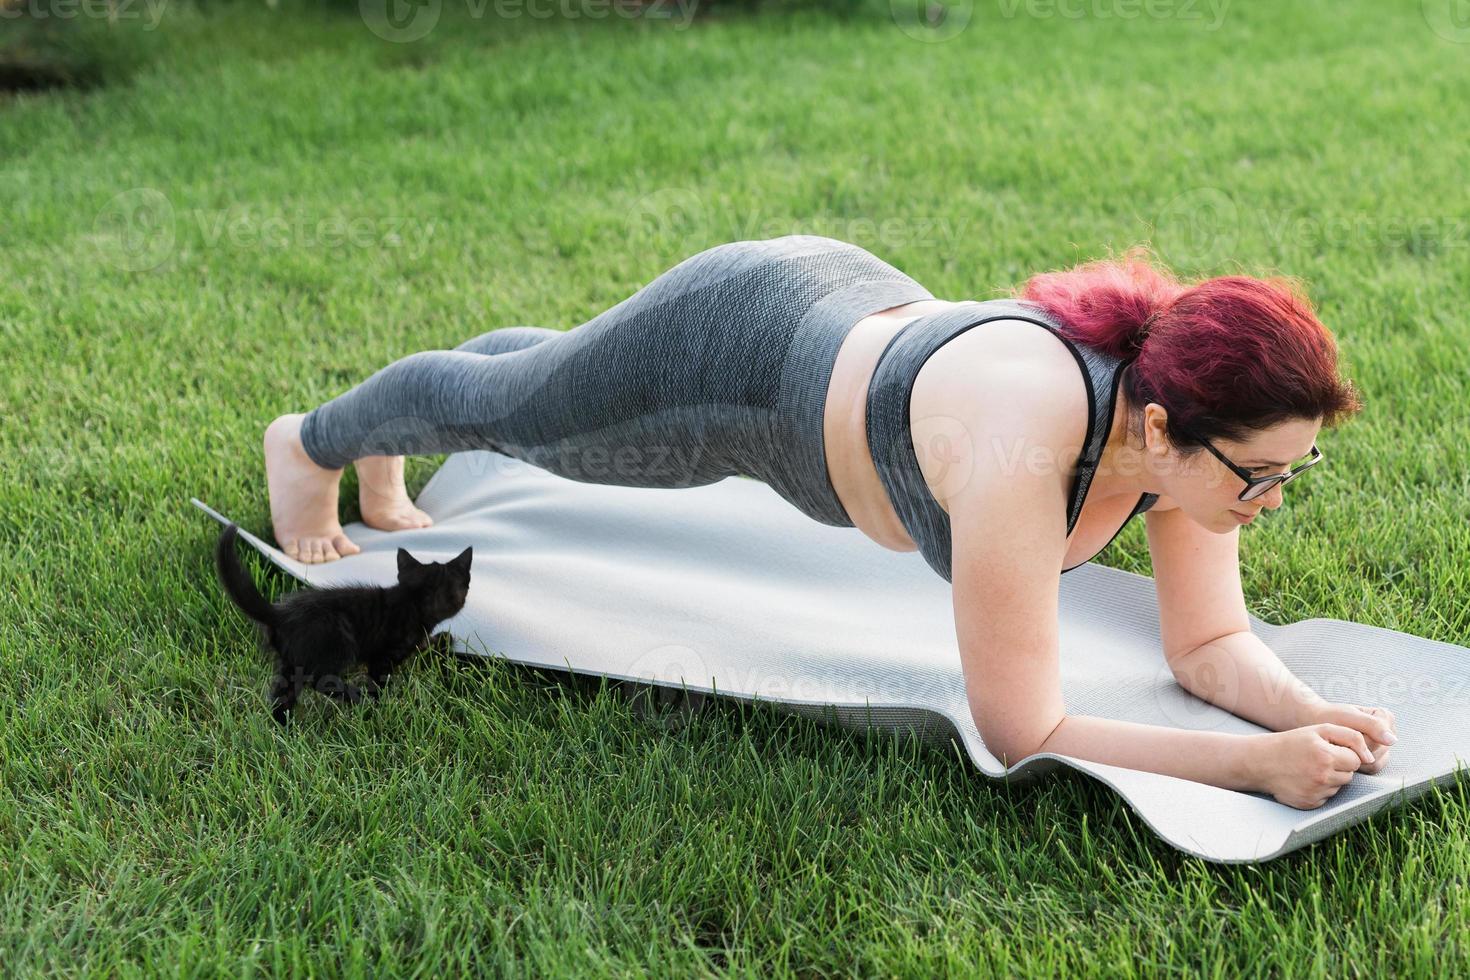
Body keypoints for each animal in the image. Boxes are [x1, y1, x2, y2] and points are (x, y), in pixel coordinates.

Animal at [214, 525, 470, 725]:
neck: (411, 603)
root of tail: (281, 614)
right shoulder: (383, 655)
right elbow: (380, 679)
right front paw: (379, 704)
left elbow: (423, 643)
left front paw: (442, 639)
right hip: (339, 641)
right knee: (320, 680)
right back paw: (354, 696)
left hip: (291, 662)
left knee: (283, 692)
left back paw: (284, 727)